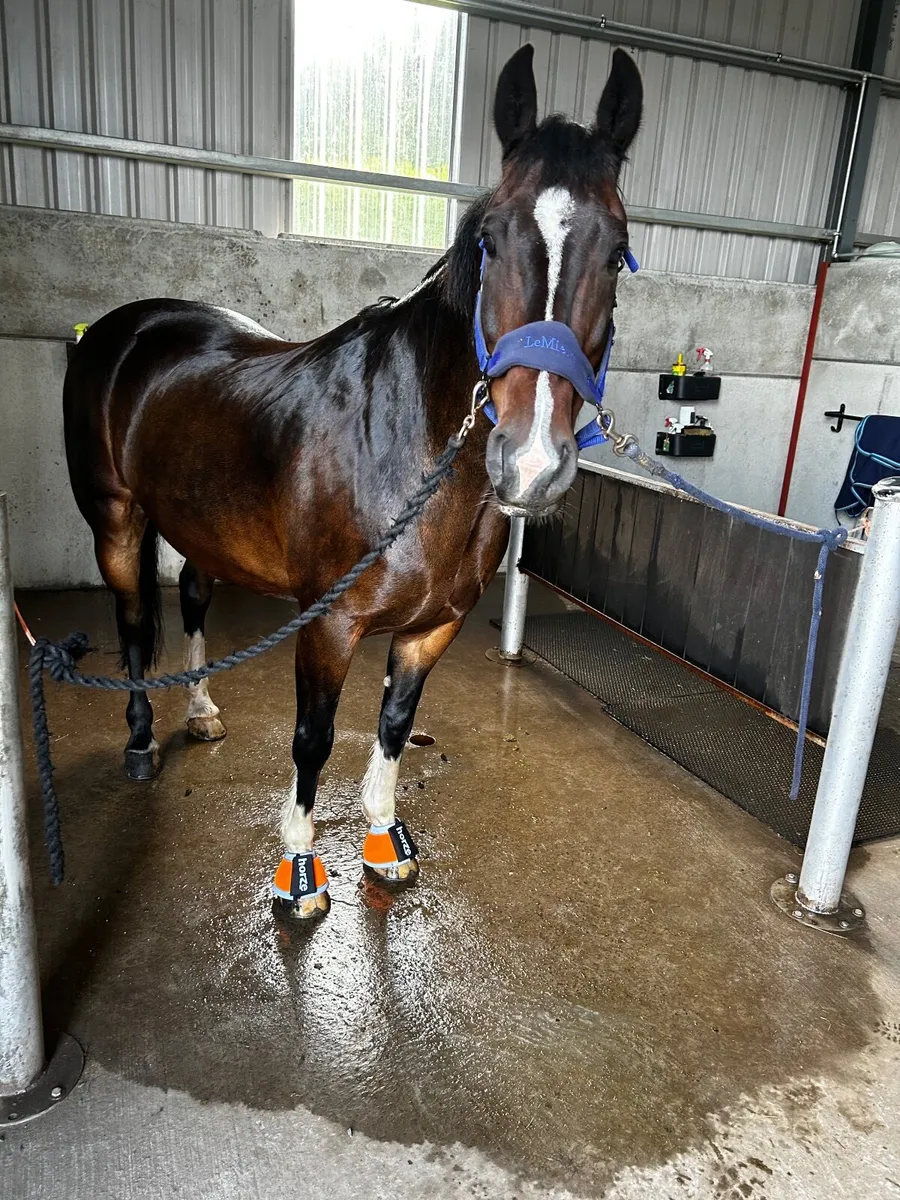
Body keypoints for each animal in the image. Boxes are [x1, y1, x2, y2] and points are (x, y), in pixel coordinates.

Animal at [63, 44, 643, 918]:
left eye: (615, 250)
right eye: (491, 239)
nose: (531, 462)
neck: (410, 452)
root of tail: (122, 330)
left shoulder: (432, 627)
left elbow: (395, 725)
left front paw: (383, 840)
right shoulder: (328, 624)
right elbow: (314, 738)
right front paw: (299, 870)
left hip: (197, 522)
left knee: (192, 598)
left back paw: (200, 712)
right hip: (116, 519)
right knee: (132, 627)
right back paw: (139, 741)